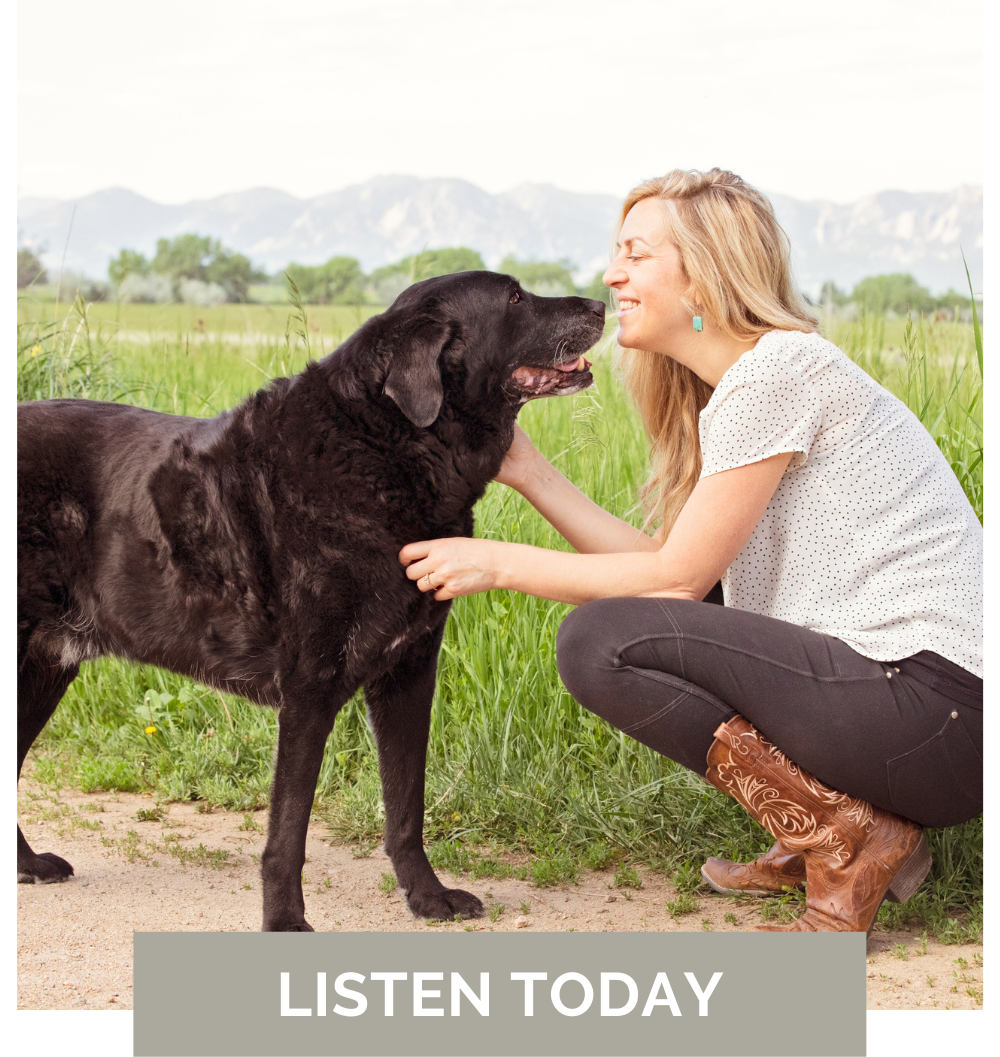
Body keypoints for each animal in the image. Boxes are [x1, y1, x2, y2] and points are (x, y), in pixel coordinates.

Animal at [17, 272, 600, 934]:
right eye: (514, 299)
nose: (602, 303)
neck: (386, 446)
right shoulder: (309, 686)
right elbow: (289, 828)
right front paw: (285, 921)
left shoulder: (409, 674)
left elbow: (407, 806)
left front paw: (427, 898)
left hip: (44, 668)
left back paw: (29, 866)